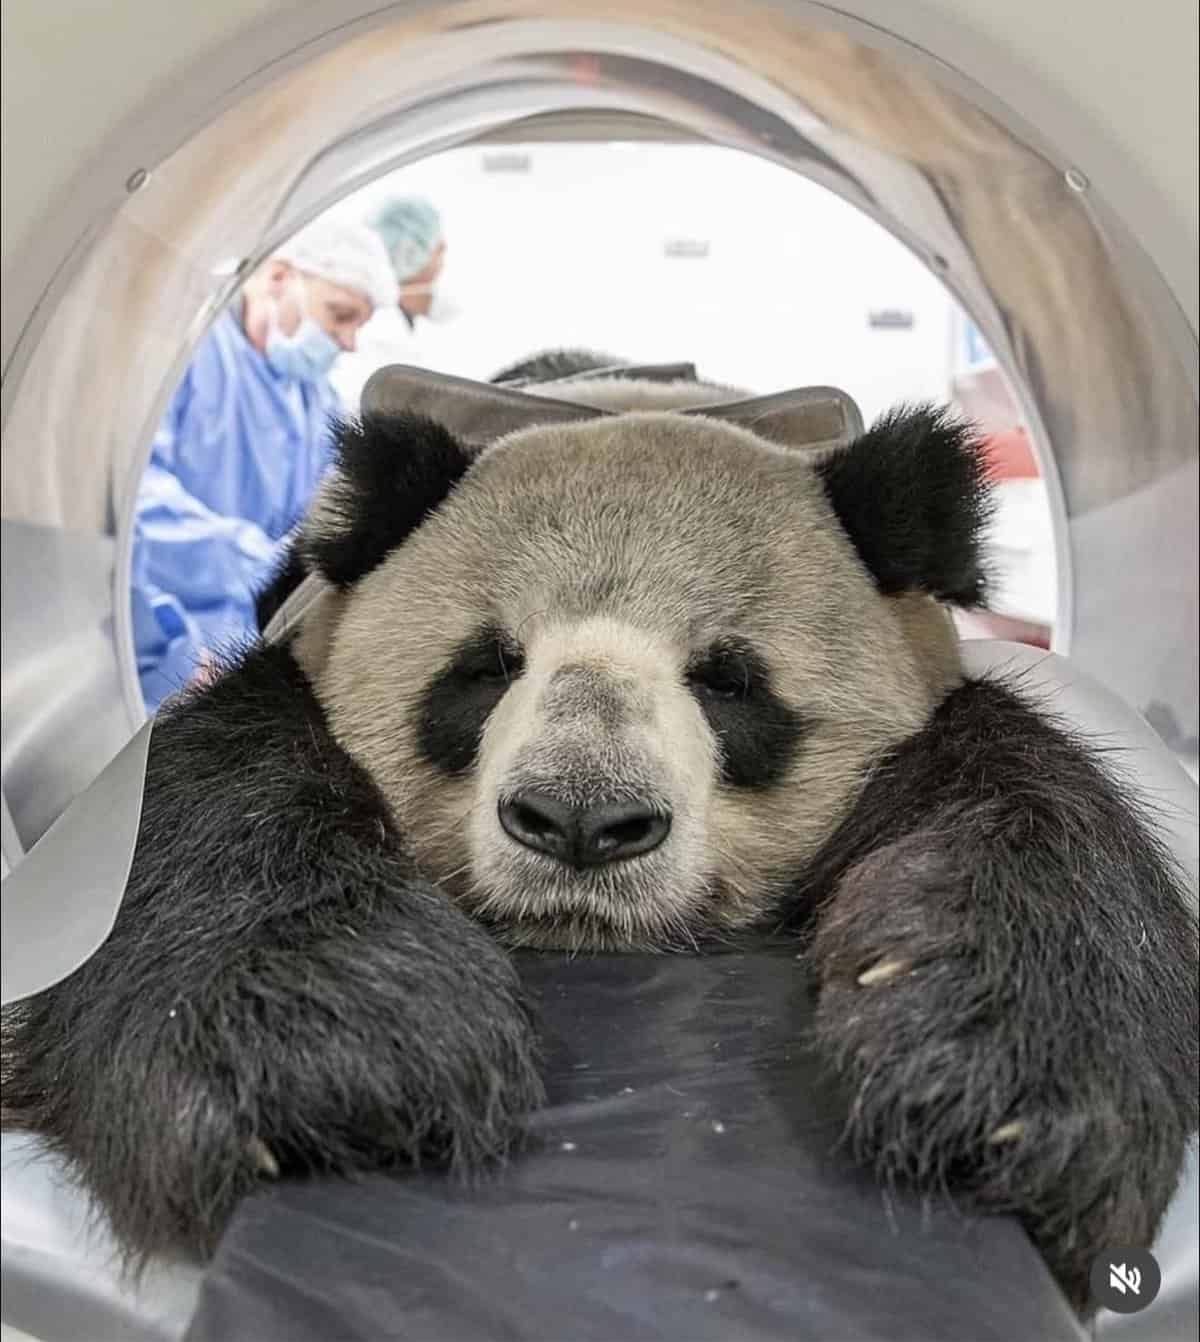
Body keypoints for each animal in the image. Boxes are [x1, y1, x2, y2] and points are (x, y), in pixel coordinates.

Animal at [2, 353, 1196, 1316]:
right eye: (486, 667)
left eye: (728, 681)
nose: (578, 819)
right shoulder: (298, 644)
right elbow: (206, 796)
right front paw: (337, 1049)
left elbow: (1021, 790)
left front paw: (999, 1075)